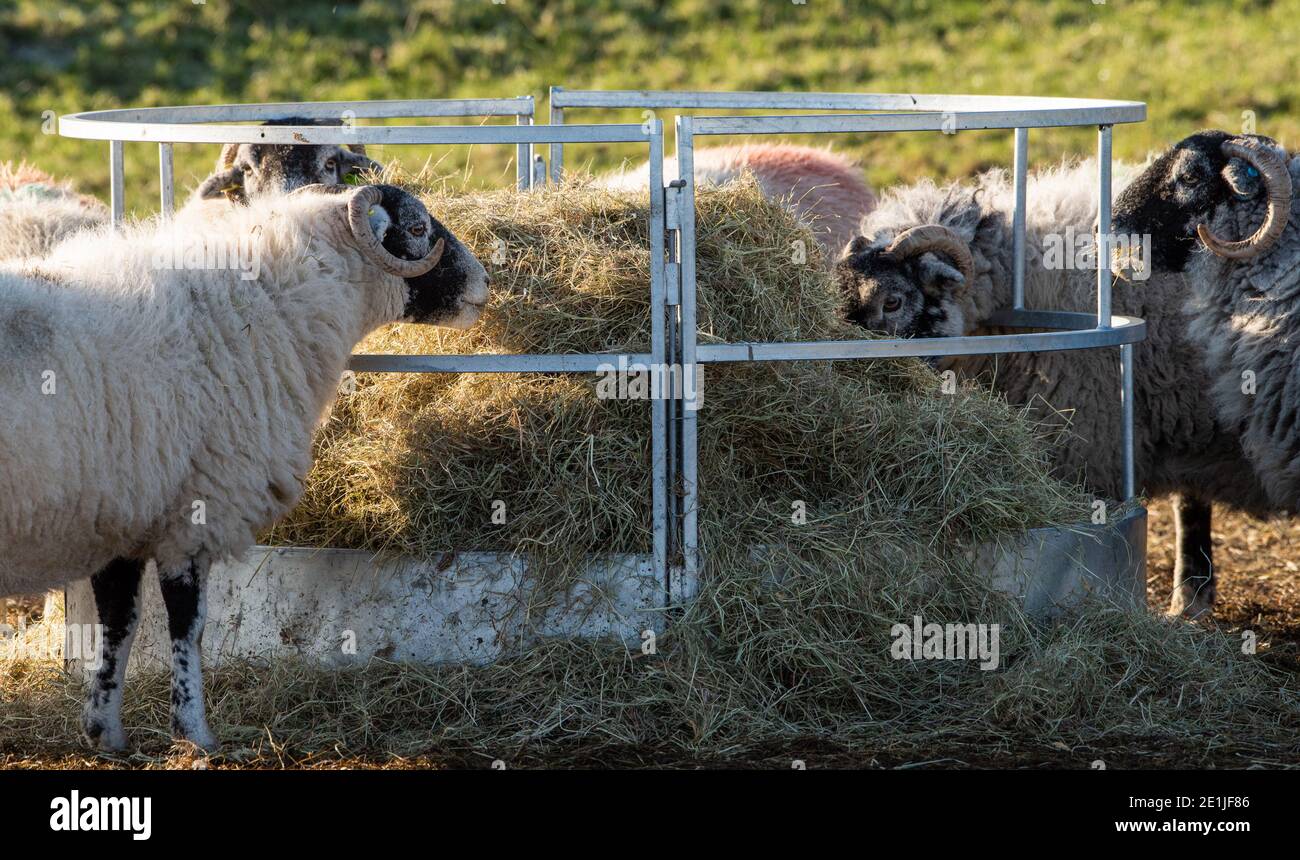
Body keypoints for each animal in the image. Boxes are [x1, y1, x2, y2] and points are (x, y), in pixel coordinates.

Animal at [0, 185, 488, 753]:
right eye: (415, 229)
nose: (485, 284)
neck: (264, 306)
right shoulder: (197, 510)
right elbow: (188, 626)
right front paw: (194, 731)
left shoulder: (121, 514)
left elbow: (118, 625)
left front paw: (105, 732)